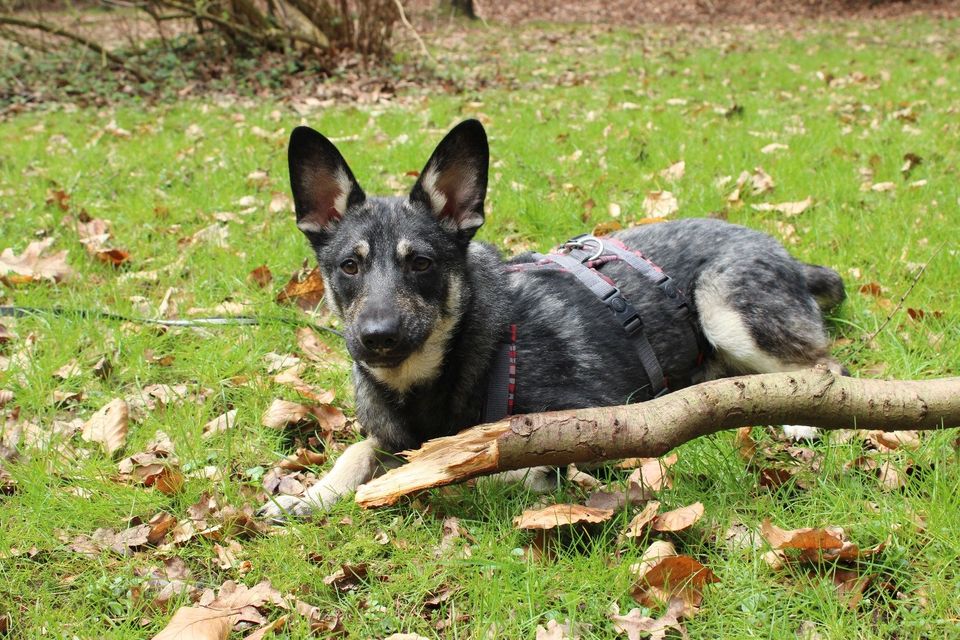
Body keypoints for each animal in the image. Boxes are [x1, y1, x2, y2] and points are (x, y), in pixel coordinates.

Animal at [258, 121, 844, 520]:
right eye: (348, 266)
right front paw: (312, 494)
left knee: (826, 367)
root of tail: (784, 253)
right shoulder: (389, 435)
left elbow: (484, 472)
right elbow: (360, 450)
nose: (376, 338)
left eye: (421, 263)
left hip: (726, 312)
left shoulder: (590, 421)